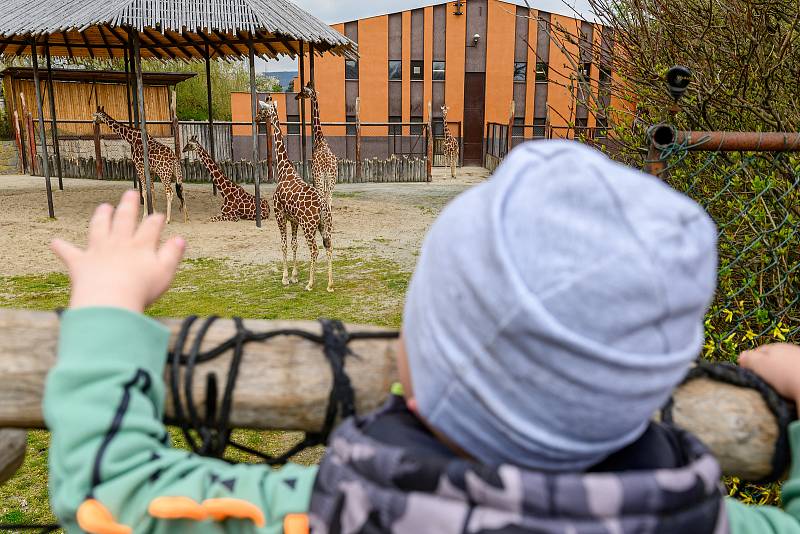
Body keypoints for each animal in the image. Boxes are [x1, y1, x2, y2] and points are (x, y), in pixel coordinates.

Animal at [255, 98, 332, 296]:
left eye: (262, 110)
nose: (256, 118)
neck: (283, 170)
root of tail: (323, 205)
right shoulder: (293, 219)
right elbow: (294, 244)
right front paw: (295, 276)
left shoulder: (280, 215)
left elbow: (283, 244)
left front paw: (285, 278)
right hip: (325, 225)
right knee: (329, 246)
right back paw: (330, 285)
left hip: (309, 226)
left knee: (315, 250)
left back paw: (311, 284)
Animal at [298, 81, 340, 211]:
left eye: (304, 91)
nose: (296, 96)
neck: (320, 139)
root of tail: (326, 165)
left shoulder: (314, 174)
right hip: (332, 177)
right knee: (329, 197)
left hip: (320, 176)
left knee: (323, 195)